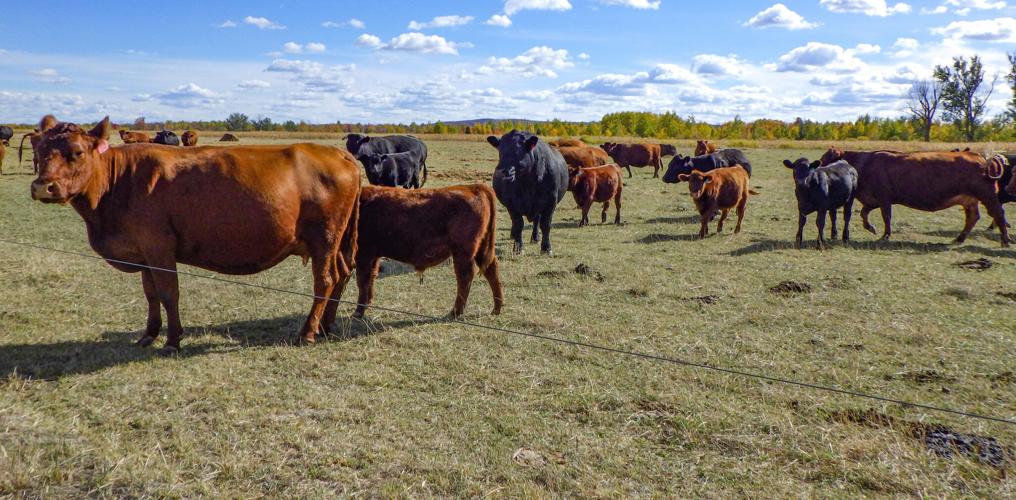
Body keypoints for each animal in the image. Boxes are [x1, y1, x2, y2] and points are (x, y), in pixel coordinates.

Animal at [30, 115, 361, 353]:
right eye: (39, 151)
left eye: (77, 152)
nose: (43, 186)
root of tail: (337, 154)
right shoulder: (143, 252)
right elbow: (151, 294)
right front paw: (149, 334)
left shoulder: (159, 248)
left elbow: (169, 293)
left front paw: (172, 340)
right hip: (336, 242)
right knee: (342, 274)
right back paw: (325, 326)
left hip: (324, 238)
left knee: (325, 280)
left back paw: (307, 332)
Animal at [351, 184, 504, 319]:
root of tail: (473, 187)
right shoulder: (373, 255)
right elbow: (371, 277)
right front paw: (368, 302)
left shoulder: (363, 255)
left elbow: (362, 280)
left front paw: (358, 311)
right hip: (481, 249)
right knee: (491, 270)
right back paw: (496, 308)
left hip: (463, 252)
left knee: (465, 277)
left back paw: (455, 312)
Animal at [820, 148, 1010, 247]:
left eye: (825, 159)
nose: (817, 168)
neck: (864, 163)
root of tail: (979, 156)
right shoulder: (873, 199)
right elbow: (864, 213)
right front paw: (872, 228)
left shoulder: (884, 198)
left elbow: (886, 216)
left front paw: (885, 235)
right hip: (970, 200)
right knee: (973, 217)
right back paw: (959, 238)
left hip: (988, 196)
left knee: (998, 214)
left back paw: (1006, 240)